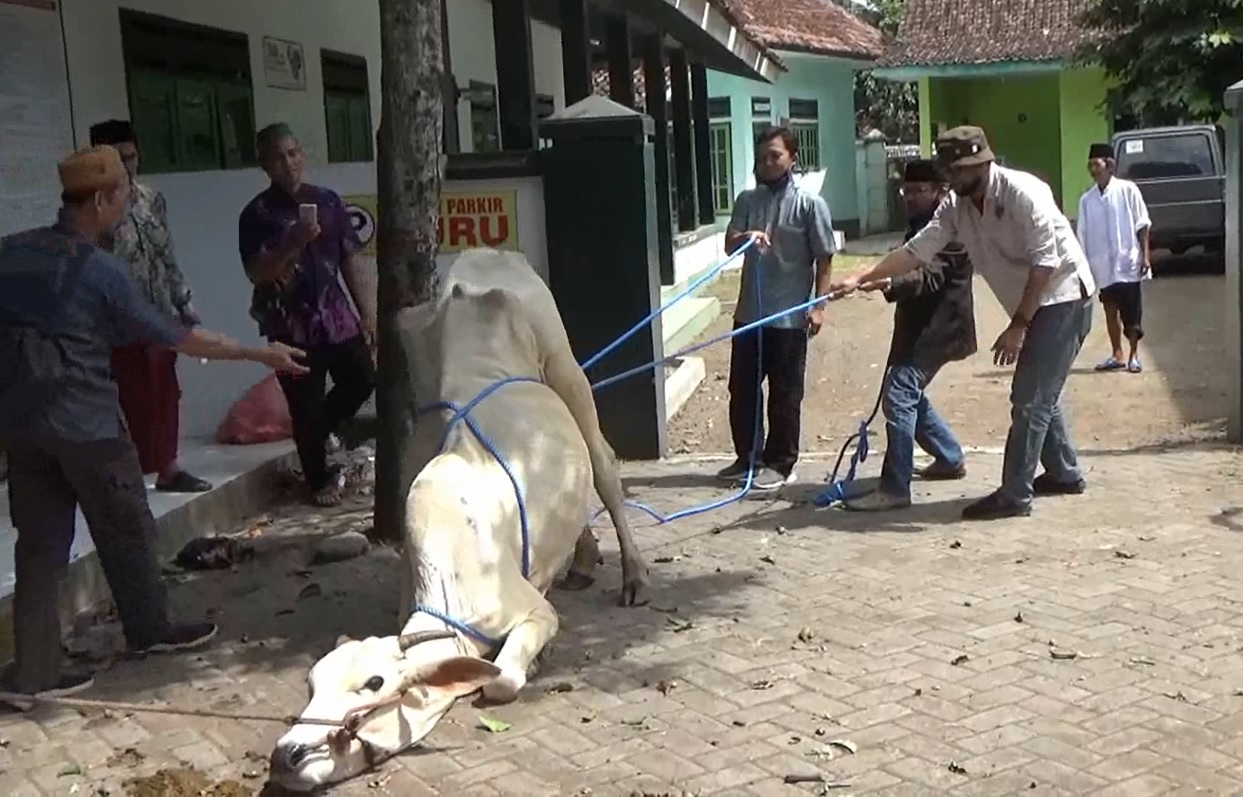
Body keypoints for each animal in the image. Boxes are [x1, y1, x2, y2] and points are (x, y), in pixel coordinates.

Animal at [269, 247, 651, 790]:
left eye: (374, 683)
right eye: (312, 683)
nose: (287, 753)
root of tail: (486, 256)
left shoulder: (534, 610)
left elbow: (503, 680)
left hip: (567, 368)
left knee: (605, 469)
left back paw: (634, 575)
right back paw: (582, 560)